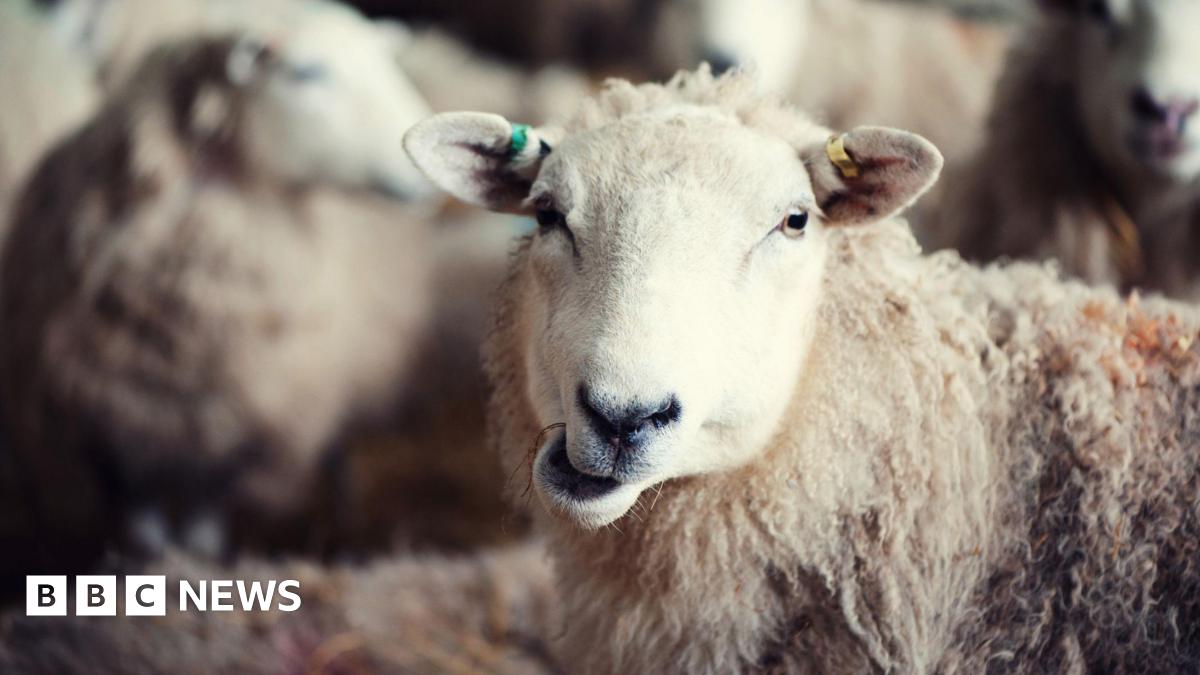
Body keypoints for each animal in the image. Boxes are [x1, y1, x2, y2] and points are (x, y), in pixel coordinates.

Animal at [0, 32, 438, 586]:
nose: (421, 167)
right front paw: (148, 569)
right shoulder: (107, 421)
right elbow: (142, 525)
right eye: (307, 72)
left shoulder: (241, 423)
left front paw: (199, 565)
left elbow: (205, 522)